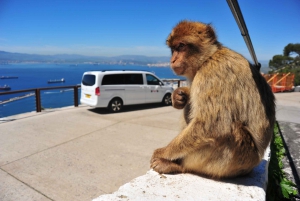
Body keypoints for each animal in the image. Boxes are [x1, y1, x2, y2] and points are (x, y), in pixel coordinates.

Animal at [151, 20, 276, 179]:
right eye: (173, 49)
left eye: (181, 46)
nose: (173, 60)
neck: (209, 57)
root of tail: (252, 166)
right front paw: (179, 95)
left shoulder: (213, 72)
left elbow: (211, 125)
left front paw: (162, 153)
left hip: (236, 160)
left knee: (227, 127)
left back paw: (179, 166)